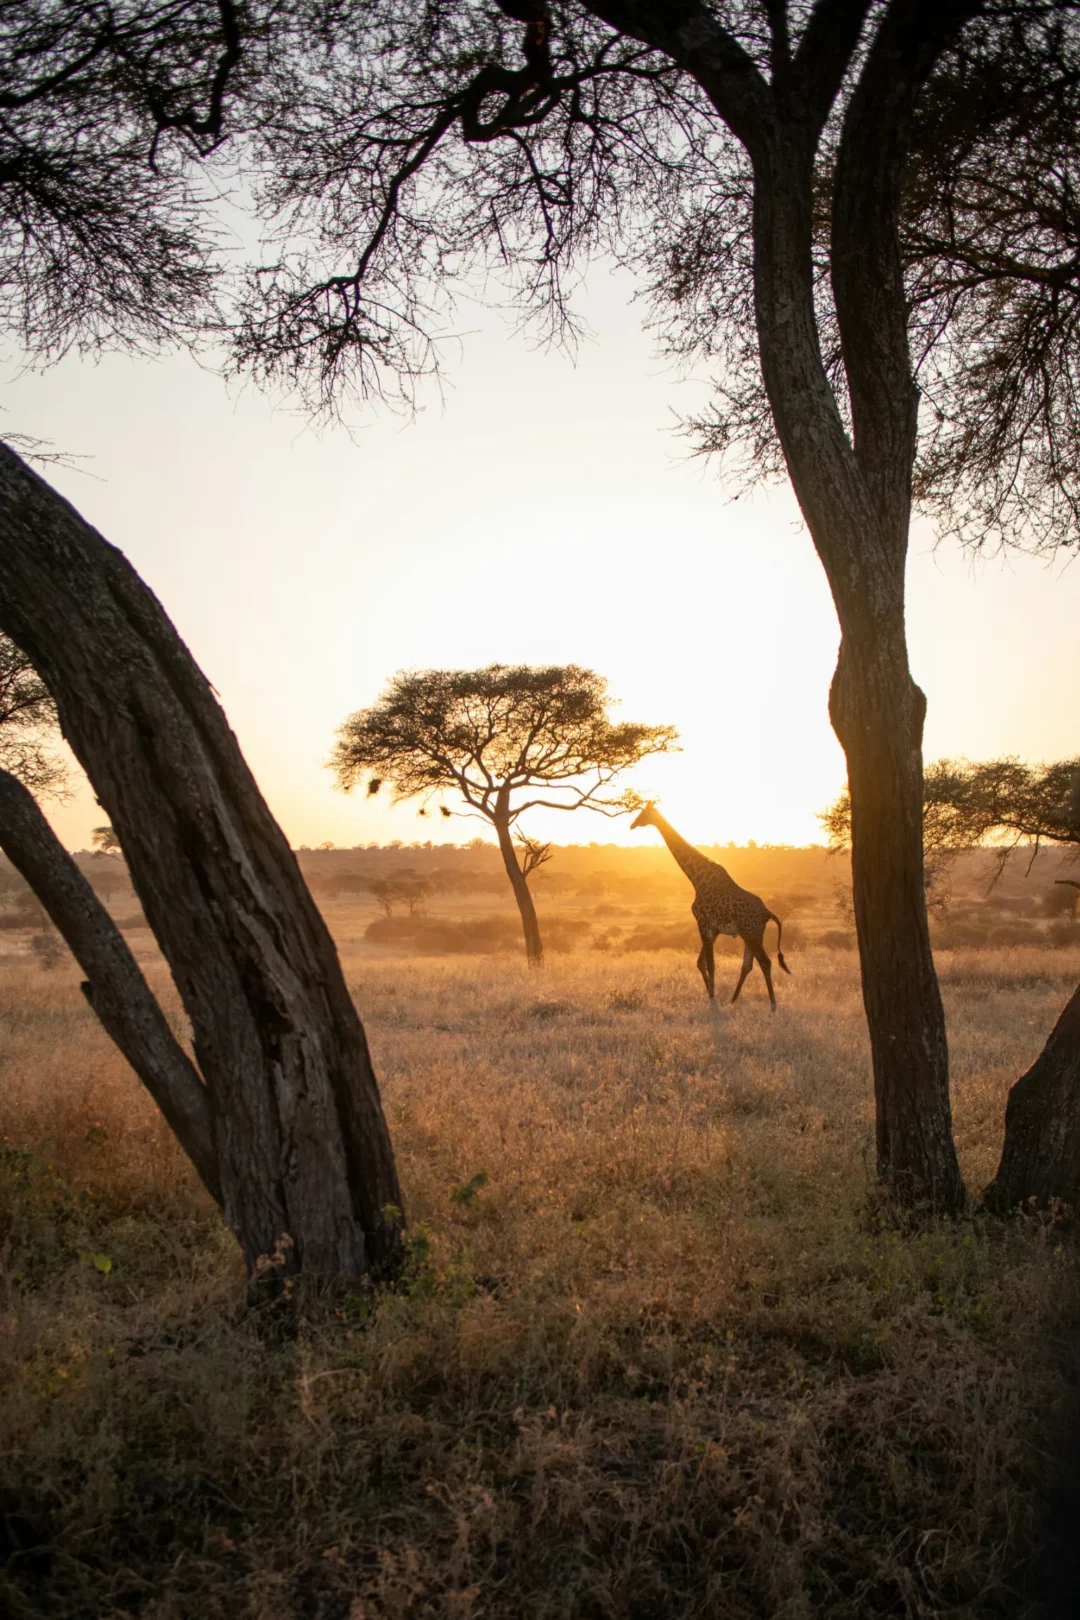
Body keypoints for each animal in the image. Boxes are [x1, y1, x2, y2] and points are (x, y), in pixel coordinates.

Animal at [630, 802, 791, 1008]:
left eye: (642, 813)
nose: (632, 825)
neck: (697, 879)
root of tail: (767, 913)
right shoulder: (713, 929)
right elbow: (701, 962)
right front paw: (711, 996)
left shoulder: (703, 922)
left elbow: (710, 964)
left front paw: (713, 1001)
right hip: (751, 934)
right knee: (748, 965)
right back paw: (733, 1000)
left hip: (752, 933)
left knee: (765, 962)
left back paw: (772, 1005)